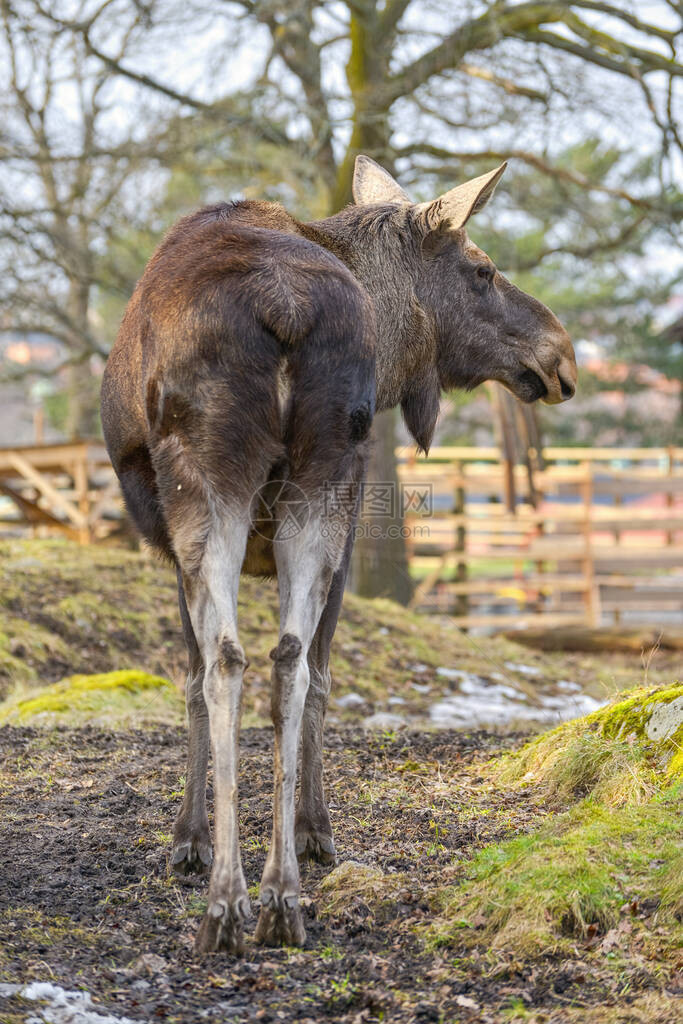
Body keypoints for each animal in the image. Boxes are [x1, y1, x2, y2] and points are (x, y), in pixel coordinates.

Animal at [101, 155, 577, 954]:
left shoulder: (178, 537)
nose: (562, 352)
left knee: (231, 659)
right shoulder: (345, 530)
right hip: (322, 482)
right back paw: (279, 896)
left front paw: (197, 839)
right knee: (288, 660)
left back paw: (232, 899)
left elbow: (197, 679)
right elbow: (308, 672)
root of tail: (284, 306)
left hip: (214, 481)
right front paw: (302, 831)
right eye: (481, 270)